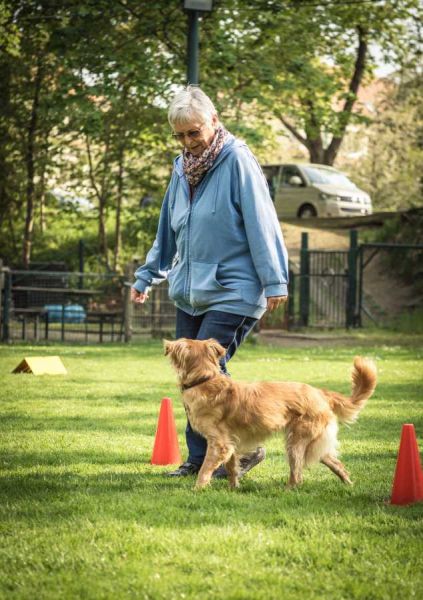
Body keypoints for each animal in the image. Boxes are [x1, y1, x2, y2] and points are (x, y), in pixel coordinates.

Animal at [163, 340, 378, 490]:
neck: (204, 379)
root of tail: (320, 392)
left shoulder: (219, 443)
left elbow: (205, 469)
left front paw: (198, 489)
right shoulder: (231, 442)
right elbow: (232, 468)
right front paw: (233, 488)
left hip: (295, 444)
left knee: (297, 476)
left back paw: (286, 490)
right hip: (314, 444)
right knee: (337, 464)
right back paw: (349, 485)